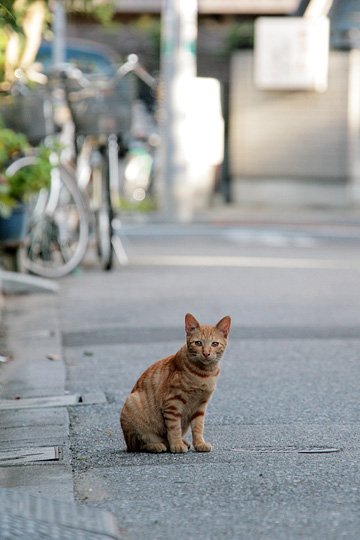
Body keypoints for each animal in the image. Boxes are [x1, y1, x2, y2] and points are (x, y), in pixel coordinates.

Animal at [119, 312, 229, 452]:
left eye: (214, 344)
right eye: (198, 343)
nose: (206, 353)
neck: (204, 374)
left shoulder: (200, 406)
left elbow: (198, 427)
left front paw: (199, 443)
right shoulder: (172, 403)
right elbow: (174, 428)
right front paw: (176, 444)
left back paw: (182, 442)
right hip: (132, 404)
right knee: (140, 444)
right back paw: (157, 445)